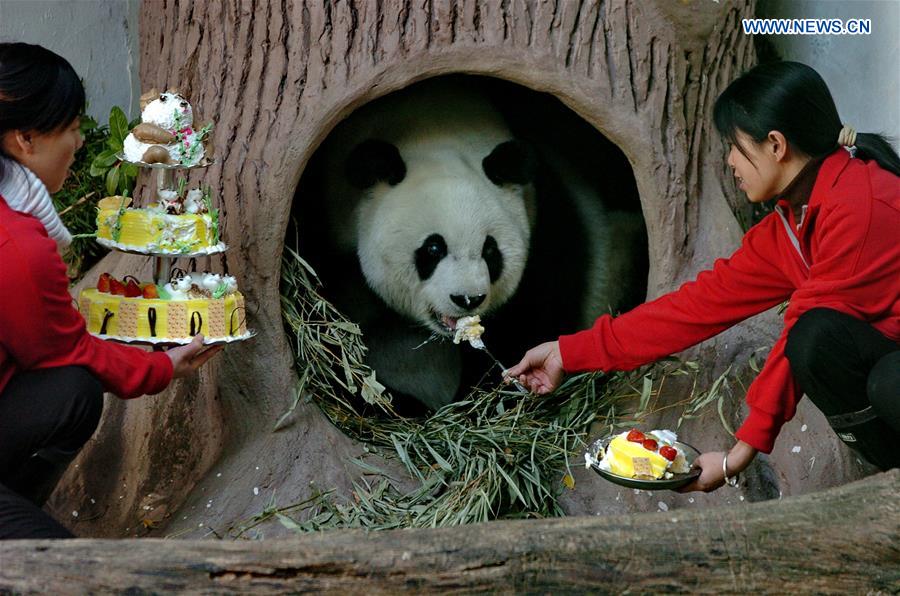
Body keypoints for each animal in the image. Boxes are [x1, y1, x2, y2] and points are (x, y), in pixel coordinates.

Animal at [298, 78, 636, 414]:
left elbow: (530, 317)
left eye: (490, 251)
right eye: (433, 249)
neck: (430, 129)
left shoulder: (543, 219)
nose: (468, 299)